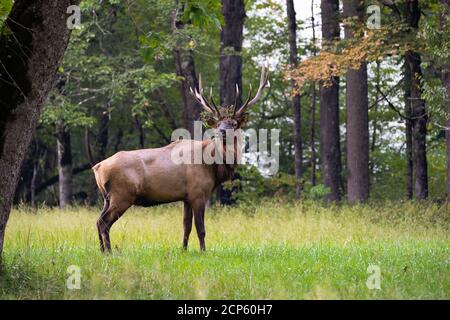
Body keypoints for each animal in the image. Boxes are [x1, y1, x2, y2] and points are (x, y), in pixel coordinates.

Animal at [91, 65, 268, 250]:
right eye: (218, 124)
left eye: (233, 124)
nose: (222, 131)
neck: (213, 169)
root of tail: (98, 168)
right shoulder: (198, 193)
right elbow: (200, 229)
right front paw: (203, 251)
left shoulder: (186, 197)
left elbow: (186, 226)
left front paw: (183, 249)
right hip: (122, 194)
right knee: (104, 222)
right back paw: (109, 251)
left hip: (106, 197)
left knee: (97, 221)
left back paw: (102, 250)